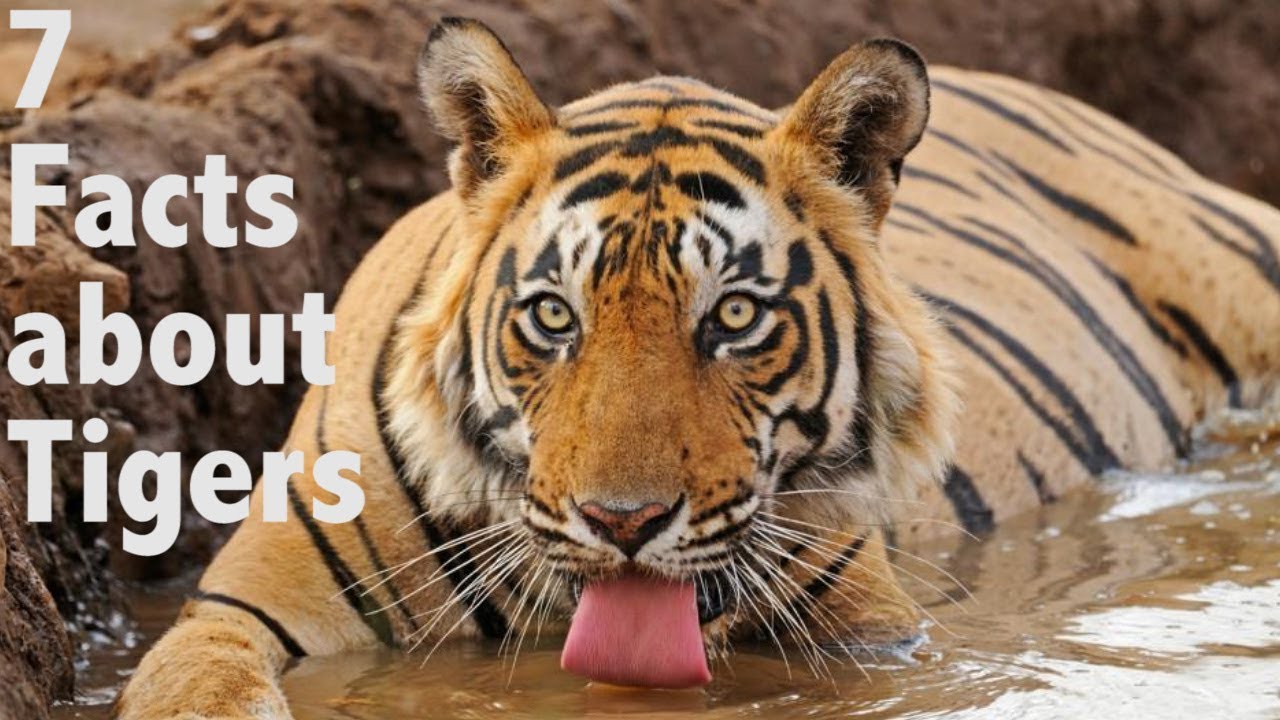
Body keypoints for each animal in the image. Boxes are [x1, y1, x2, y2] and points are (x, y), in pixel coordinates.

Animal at [115, 16, 1280, 720]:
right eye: (553, 317)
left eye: (733, 318)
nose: (622, 523)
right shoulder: (238, 611)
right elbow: (197, 685)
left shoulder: (877, 634)